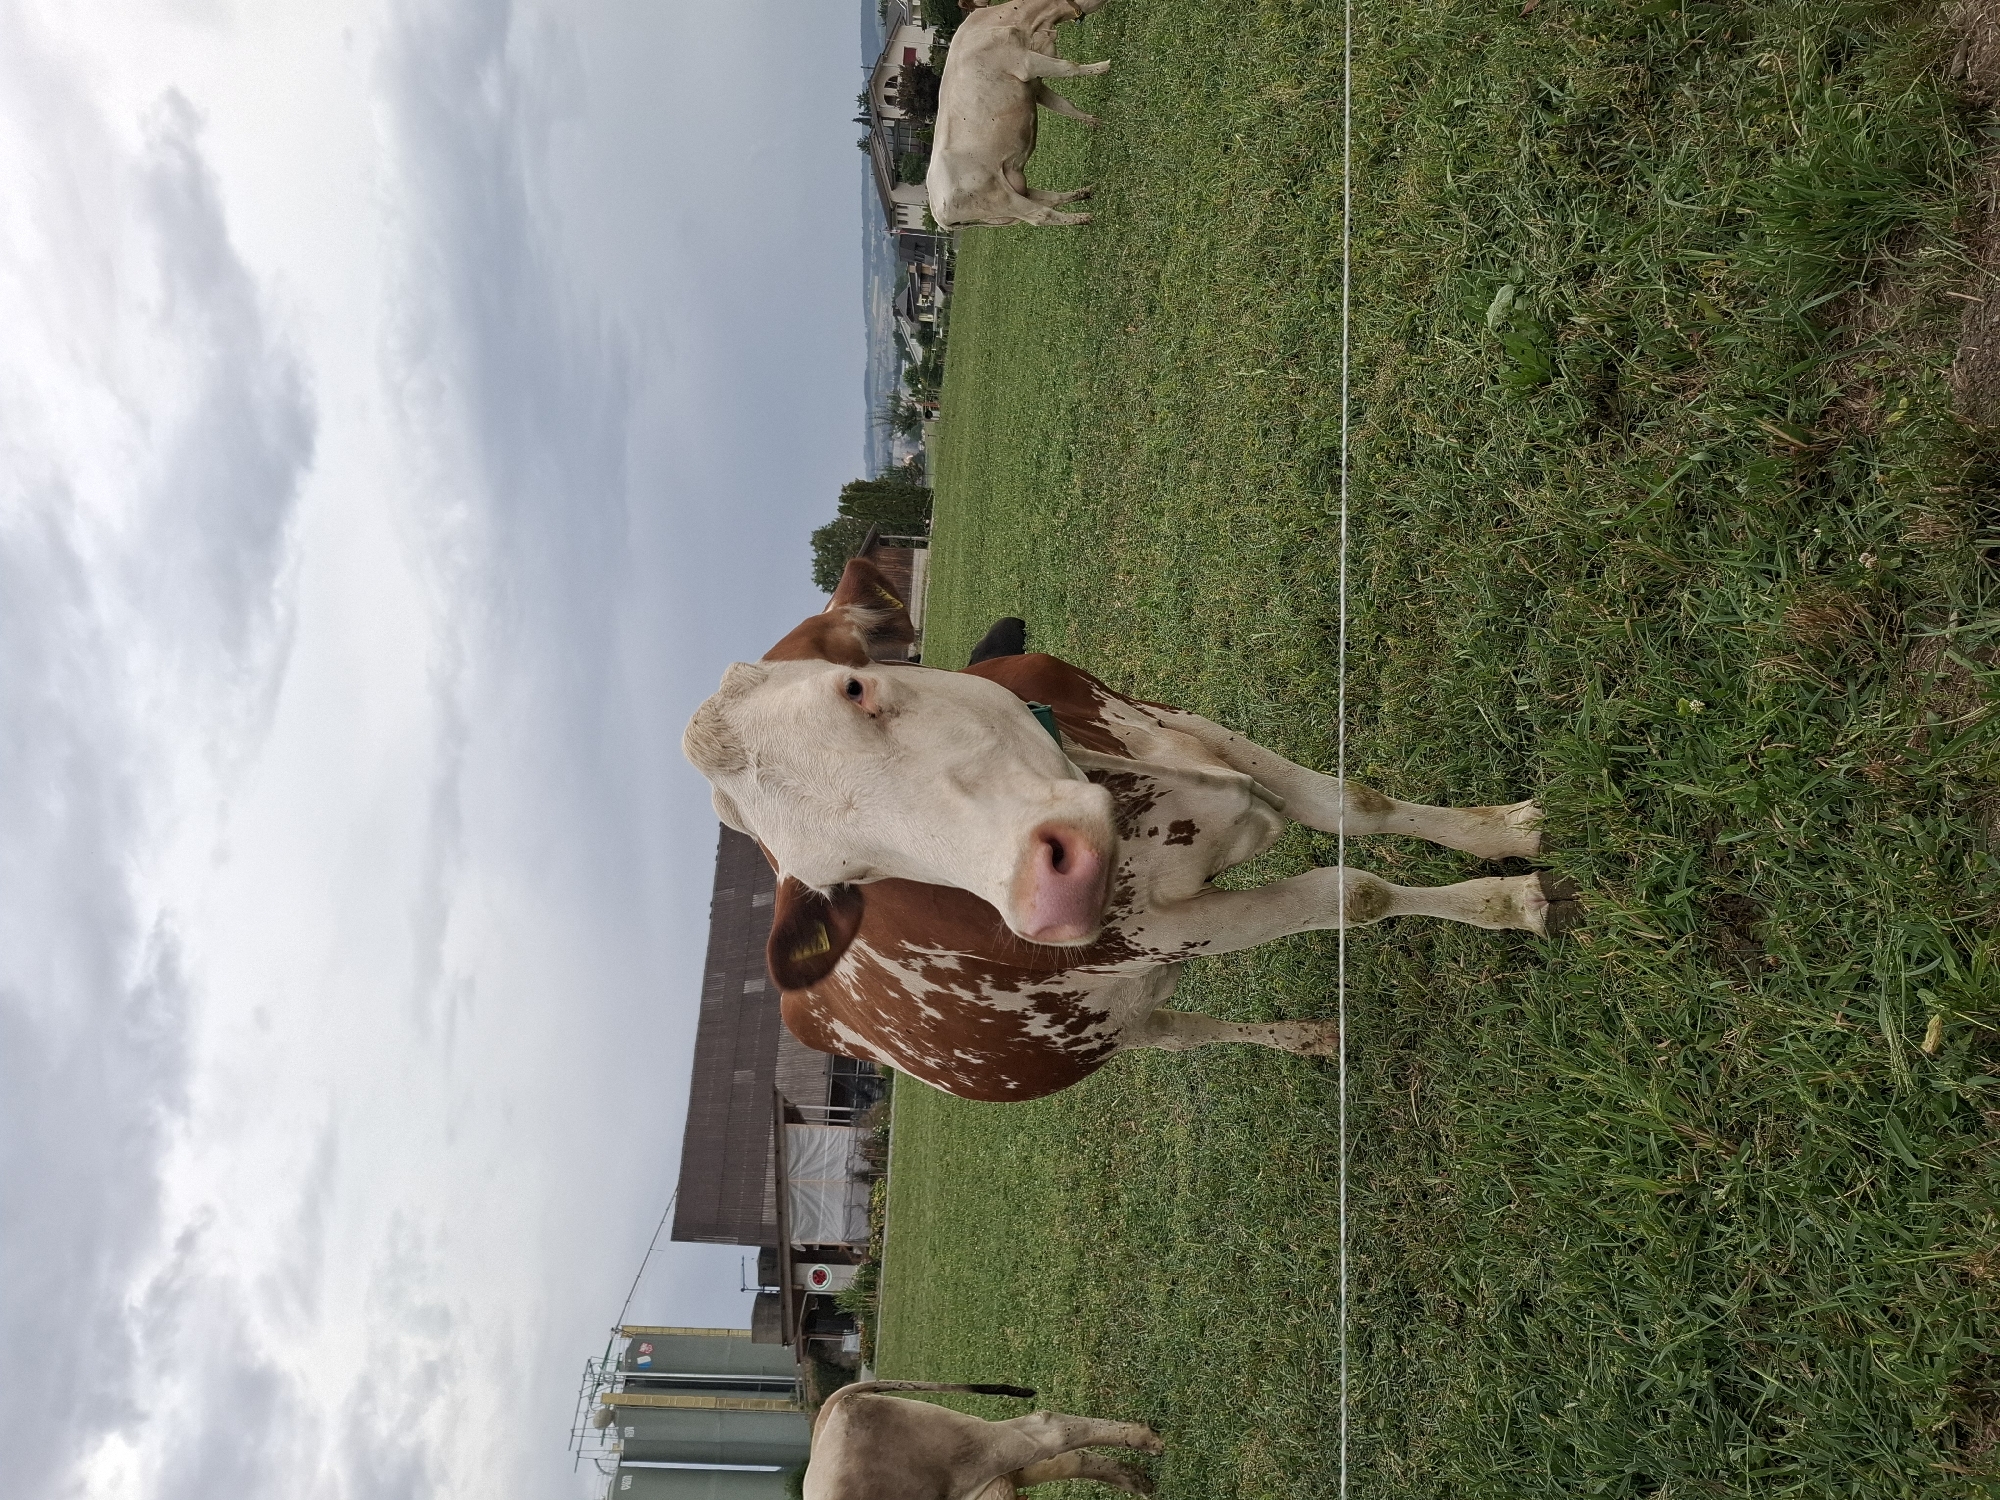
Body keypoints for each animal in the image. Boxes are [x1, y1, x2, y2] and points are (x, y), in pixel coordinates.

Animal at [681, 555, 1578, 1103]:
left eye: (856, 688)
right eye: (851, 875)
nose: (1048, 896)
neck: (1127, 788)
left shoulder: (1178, 723)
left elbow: (1354, 805)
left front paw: (1510, 832)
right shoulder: (1165, 932)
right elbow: (1353, 893)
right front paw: (1516, 903)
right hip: (1118, 1028)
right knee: (1185, 1037)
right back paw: (1300, 1036)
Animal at [805, 1381, 1160, 1500]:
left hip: (975, 1452)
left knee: (1050, 1428)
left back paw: (1147, 1439)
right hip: (980, 1472)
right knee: (1059, 1460)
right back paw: (1136, 1480)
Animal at [927, 0, 1111, 229]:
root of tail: (937, 211)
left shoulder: (1034, 85)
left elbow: (1064, 105)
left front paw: (1098, 122)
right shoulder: (1026, 63)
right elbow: (1070, 67)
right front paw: (1106, 66)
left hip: (1014, 189)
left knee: (1051, 199)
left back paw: (1085, 192)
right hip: (1002, 200)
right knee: (1041, 215)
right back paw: (1084, 217)